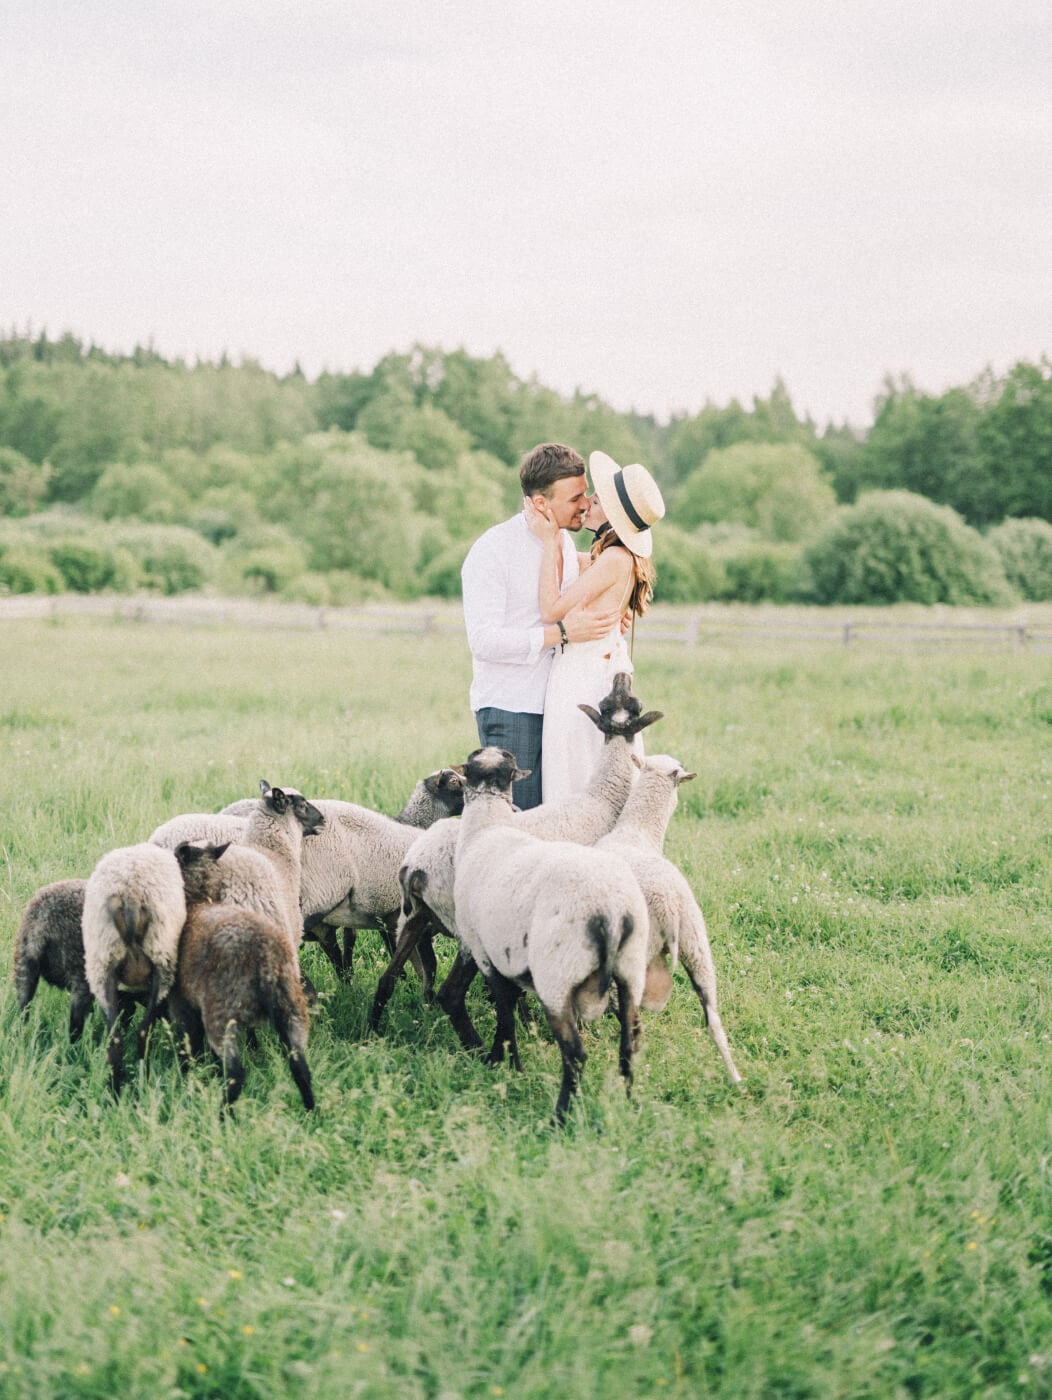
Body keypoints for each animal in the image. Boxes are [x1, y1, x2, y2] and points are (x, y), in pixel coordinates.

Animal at [81, 843, 187, 1093]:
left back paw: (114, 1092)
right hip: (161, 961)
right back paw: (143, 1083)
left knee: (115, 1040)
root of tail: (129, 894)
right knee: (143, 1032)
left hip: (102, 966)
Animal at [171, 842, 314, 1115]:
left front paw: (187, 1076)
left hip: (222, 1014)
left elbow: (189, 1044)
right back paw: (312, 1112)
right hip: (291, 1007)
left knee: (236, 1073)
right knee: (300, 1066)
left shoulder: (184, 1004)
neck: (199, 901)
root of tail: (264, 953)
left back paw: (223, 1115)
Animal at [370, 671, 662, 1042]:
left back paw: (372, 1033)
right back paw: (482, 1046)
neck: (603, 798)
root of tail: (417, 867)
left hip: (413, 920)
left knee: (388, 979)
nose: (621, 675)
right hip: (467, 928)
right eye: (625, 704)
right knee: (451, 993)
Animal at [453, 746, 650, 1123]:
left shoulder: (485, 951)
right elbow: (510, 1006)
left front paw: (502, 1062)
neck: (487, 826)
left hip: (557, 975)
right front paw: (508, 1062)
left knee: (575, 1053)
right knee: (630, 1040)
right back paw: (629, 1103)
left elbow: (504, 1011)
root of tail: (610, 911)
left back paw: (559, 1117)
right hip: (631, 970)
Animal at [596, 754, 743, 1086]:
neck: (637, 831)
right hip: (696, 942)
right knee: (713, 1021)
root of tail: (670, 906)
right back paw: (736, 1079)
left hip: (639, 949)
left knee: (631, 1017)